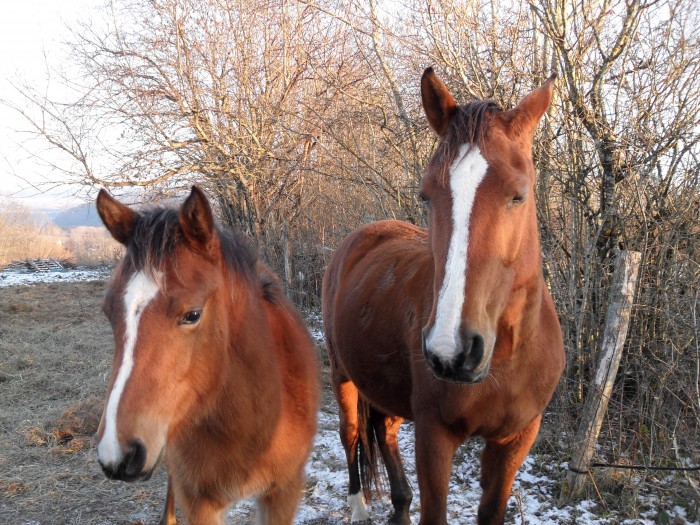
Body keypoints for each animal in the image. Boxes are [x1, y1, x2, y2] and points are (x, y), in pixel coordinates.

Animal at [322, 68, 564, 524]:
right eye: (426, 195)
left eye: (518, 195)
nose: (452, 352)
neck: (507, 355)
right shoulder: (435, 437)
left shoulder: (515, 440)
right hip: (341, 374)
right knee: (352, 436)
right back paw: (359, 507)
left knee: (384, 431)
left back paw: (400, 505)